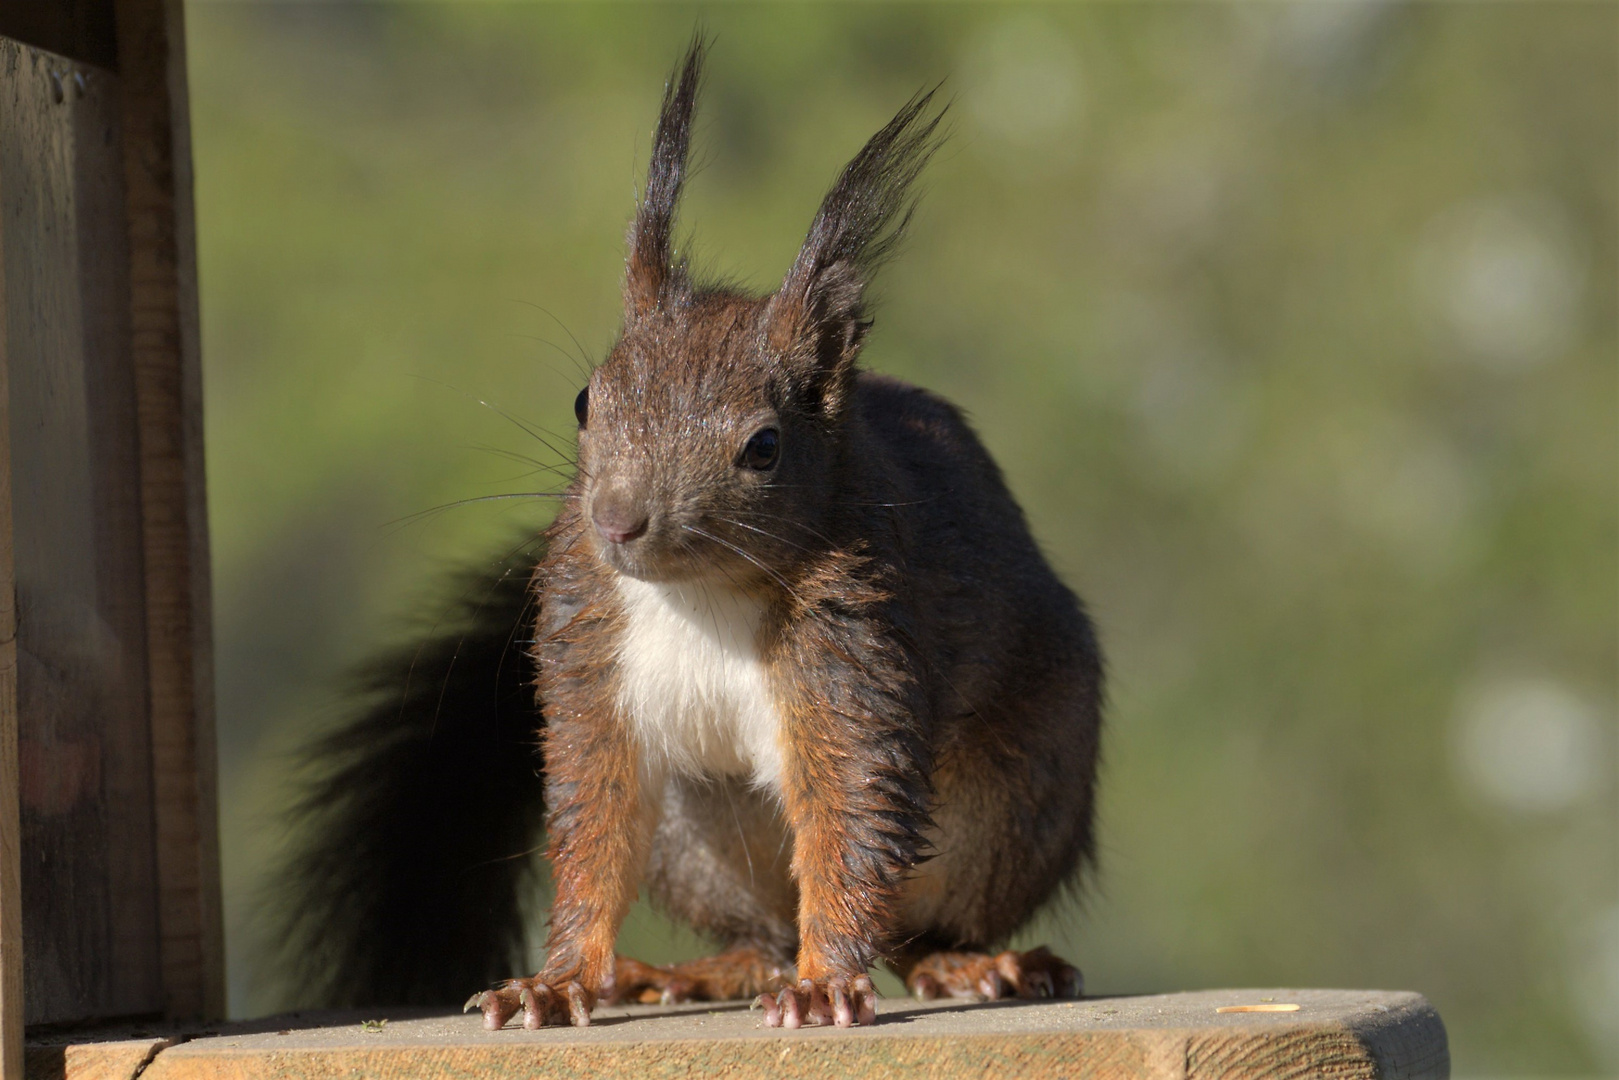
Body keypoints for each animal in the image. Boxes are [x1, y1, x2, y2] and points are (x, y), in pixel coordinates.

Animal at [262, 40, 1100, 1029]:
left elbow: (847, 817)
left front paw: (825, 984)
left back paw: (968, 965)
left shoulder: (854, 652)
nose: (617, 520)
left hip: (1006, 804)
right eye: (585, 402)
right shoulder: (589, 660)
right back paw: (698, 972)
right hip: (696, 841)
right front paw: (557, 981)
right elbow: (593, 826)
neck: (697, 592)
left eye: (764, 447)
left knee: (914, 928)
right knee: (757, 933)